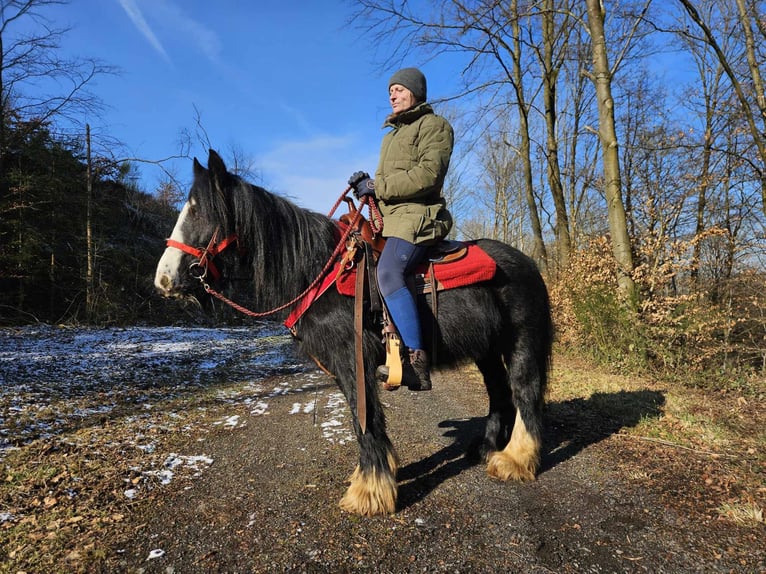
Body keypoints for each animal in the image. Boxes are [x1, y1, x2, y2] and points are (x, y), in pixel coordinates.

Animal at [154, 151, 552, 520]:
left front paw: (369, 492)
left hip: (521, 343)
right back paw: (487, 449)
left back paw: (515, 460)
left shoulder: (354, 362)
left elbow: (366, 421)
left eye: (198, 212)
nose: (163, 279)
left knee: (524, 393)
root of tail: (529, 263)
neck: (320, 273)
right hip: (487, 351)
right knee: (500, 394)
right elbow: (363, 420)